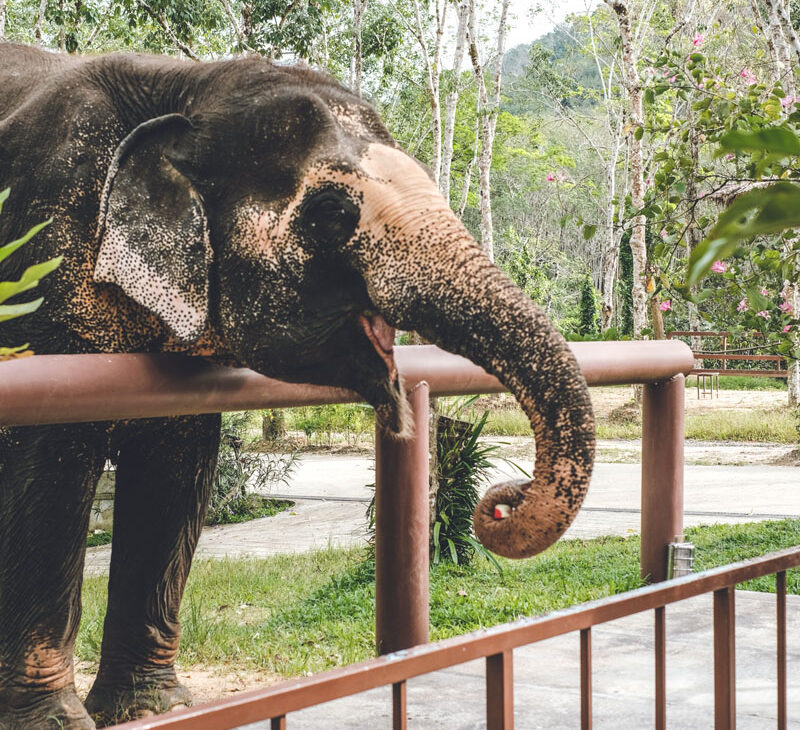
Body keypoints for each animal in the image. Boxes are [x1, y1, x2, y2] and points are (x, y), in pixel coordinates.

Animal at [0, 42, 592, 724]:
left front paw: (152, 710)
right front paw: (56, 722)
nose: (500, 501)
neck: (186, 84)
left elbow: (177, 464)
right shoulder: (38, 254)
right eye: (331, 213)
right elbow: (48, 464)